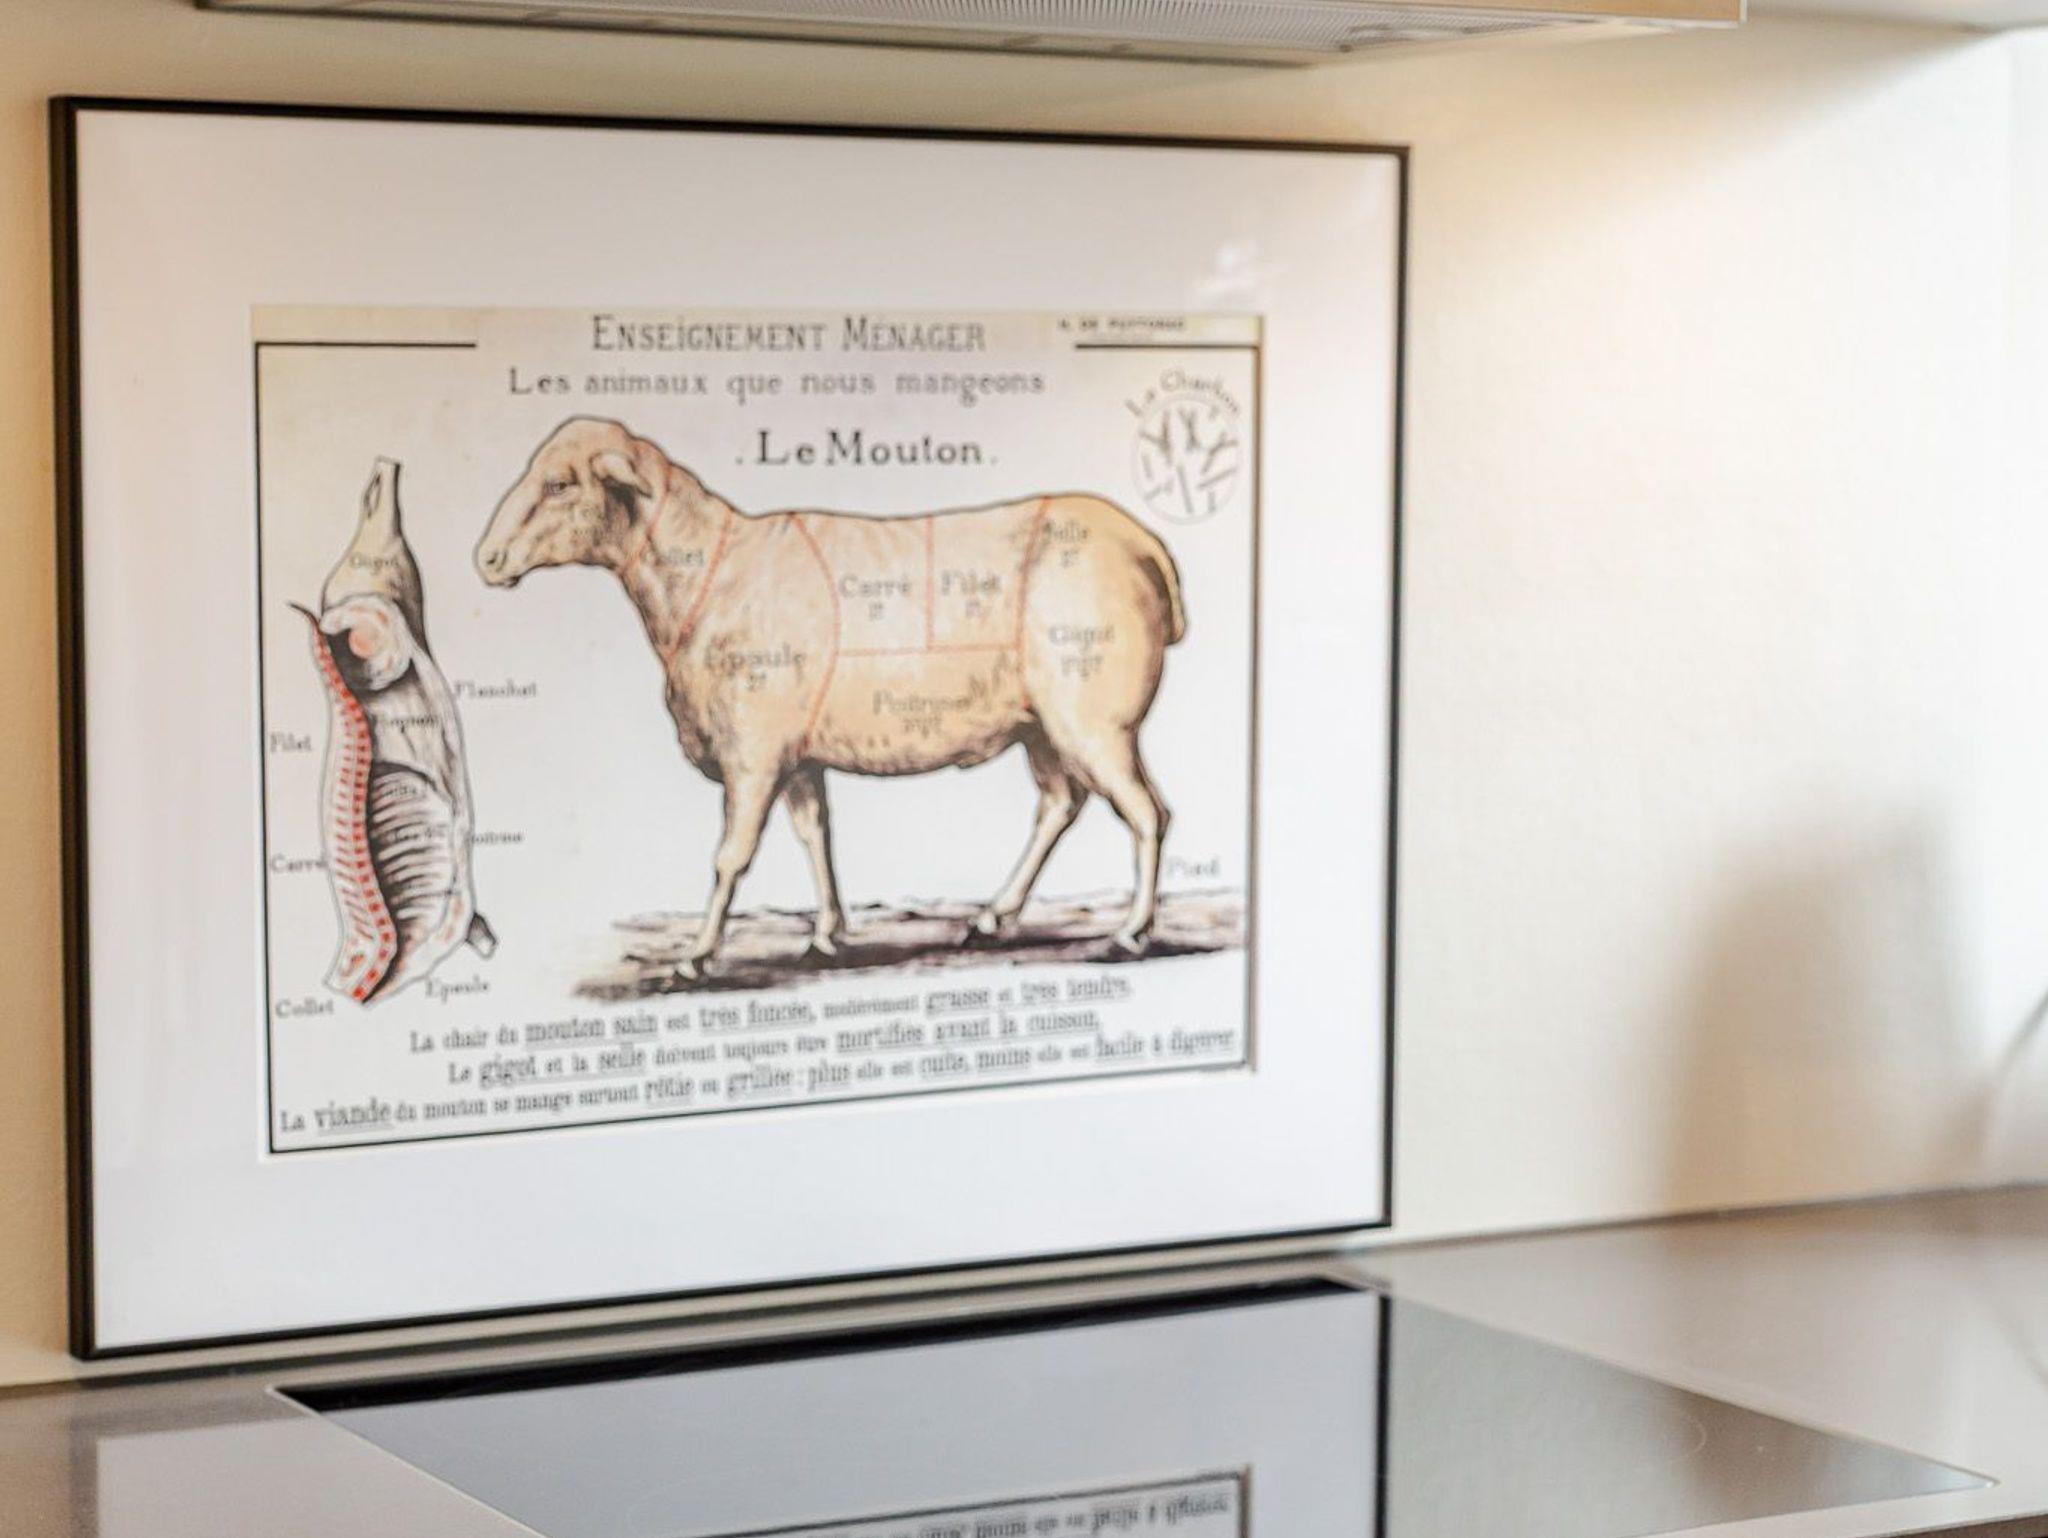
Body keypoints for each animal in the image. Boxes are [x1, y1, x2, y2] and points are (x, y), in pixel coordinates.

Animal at [476, 417, 1185, 982]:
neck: (710, 574)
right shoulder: (798, 758)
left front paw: (698, 953)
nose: (486, 559)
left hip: (1095, 720)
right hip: (1042, 726)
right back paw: (991, 917)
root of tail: (1145, 544)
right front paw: (826, 933)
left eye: (560, 484)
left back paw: (1130, 931)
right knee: (1060, 805)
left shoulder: (754, 754)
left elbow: (731, 856)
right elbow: (815, 835)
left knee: (1146, 812)